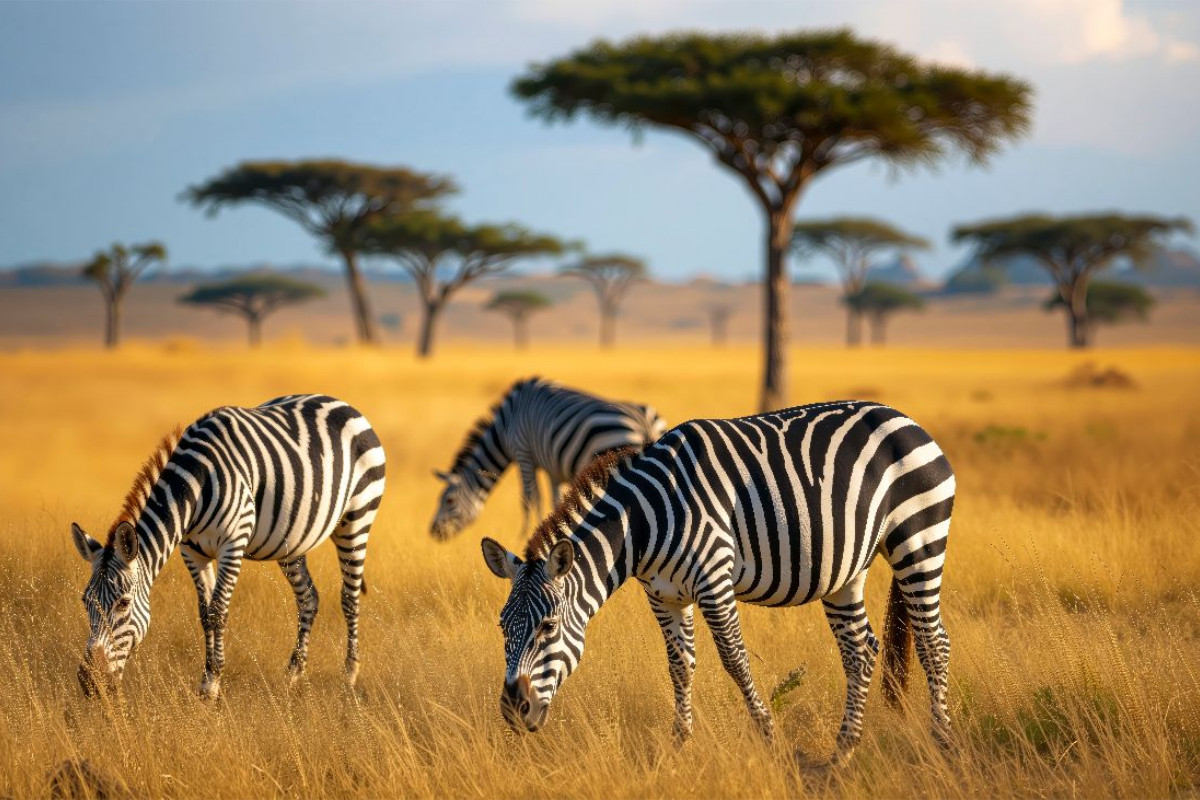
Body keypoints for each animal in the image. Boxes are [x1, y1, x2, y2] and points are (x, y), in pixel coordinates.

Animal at [71, 394, 386, 700]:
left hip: (357, 519)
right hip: (291, 542)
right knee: (308, 597)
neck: (195, 484)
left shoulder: (232, 544)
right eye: (85, 602)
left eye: (123, 603)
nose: (90, 683)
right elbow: (204, 613)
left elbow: (217, 611)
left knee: (349, 597)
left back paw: (349, 675)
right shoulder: (192, 552)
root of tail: (341, 403)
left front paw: (212, 684)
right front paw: (206, 680)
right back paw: (294, 675)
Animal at [431, 376, 667, 539]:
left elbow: (529, 498)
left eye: (449, 501)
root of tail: (644, 421)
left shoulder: (523, 453)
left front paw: (524, 535)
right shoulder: (554, 468)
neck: (506, 425)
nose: (432, 532)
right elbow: (556, 500)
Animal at [480, 400, 955, 760]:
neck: (642, 526)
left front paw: (769, 739)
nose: (513, 710)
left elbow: (734, 660)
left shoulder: (713, 582)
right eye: (503, 628)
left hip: (918, 540)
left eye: (547, 627)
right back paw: (843, 751)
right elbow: (680, 666)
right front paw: (678, 746)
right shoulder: (664, 595)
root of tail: (904, 418)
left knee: (933, 642)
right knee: (861, 651)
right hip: (847, 573)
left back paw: (943, 742)